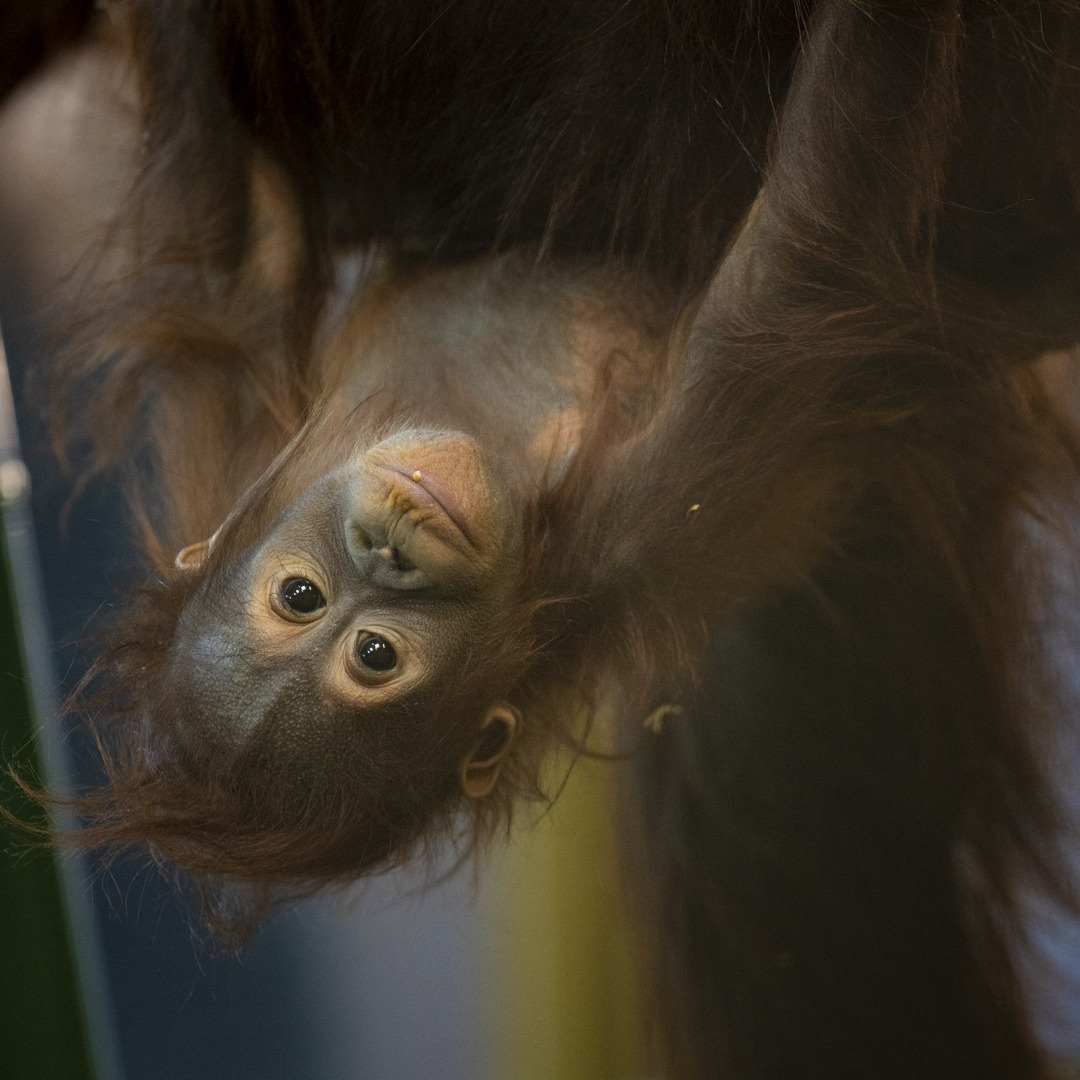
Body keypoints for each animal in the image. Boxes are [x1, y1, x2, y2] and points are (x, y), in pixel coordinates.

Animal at [9, 1, 1080, 1078]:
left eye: (303, 601)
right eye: (370, 651)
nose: (391, 551)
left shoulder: (248, 414)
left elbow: (231, 227)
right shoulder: (637, 524)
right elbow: (801, 249)